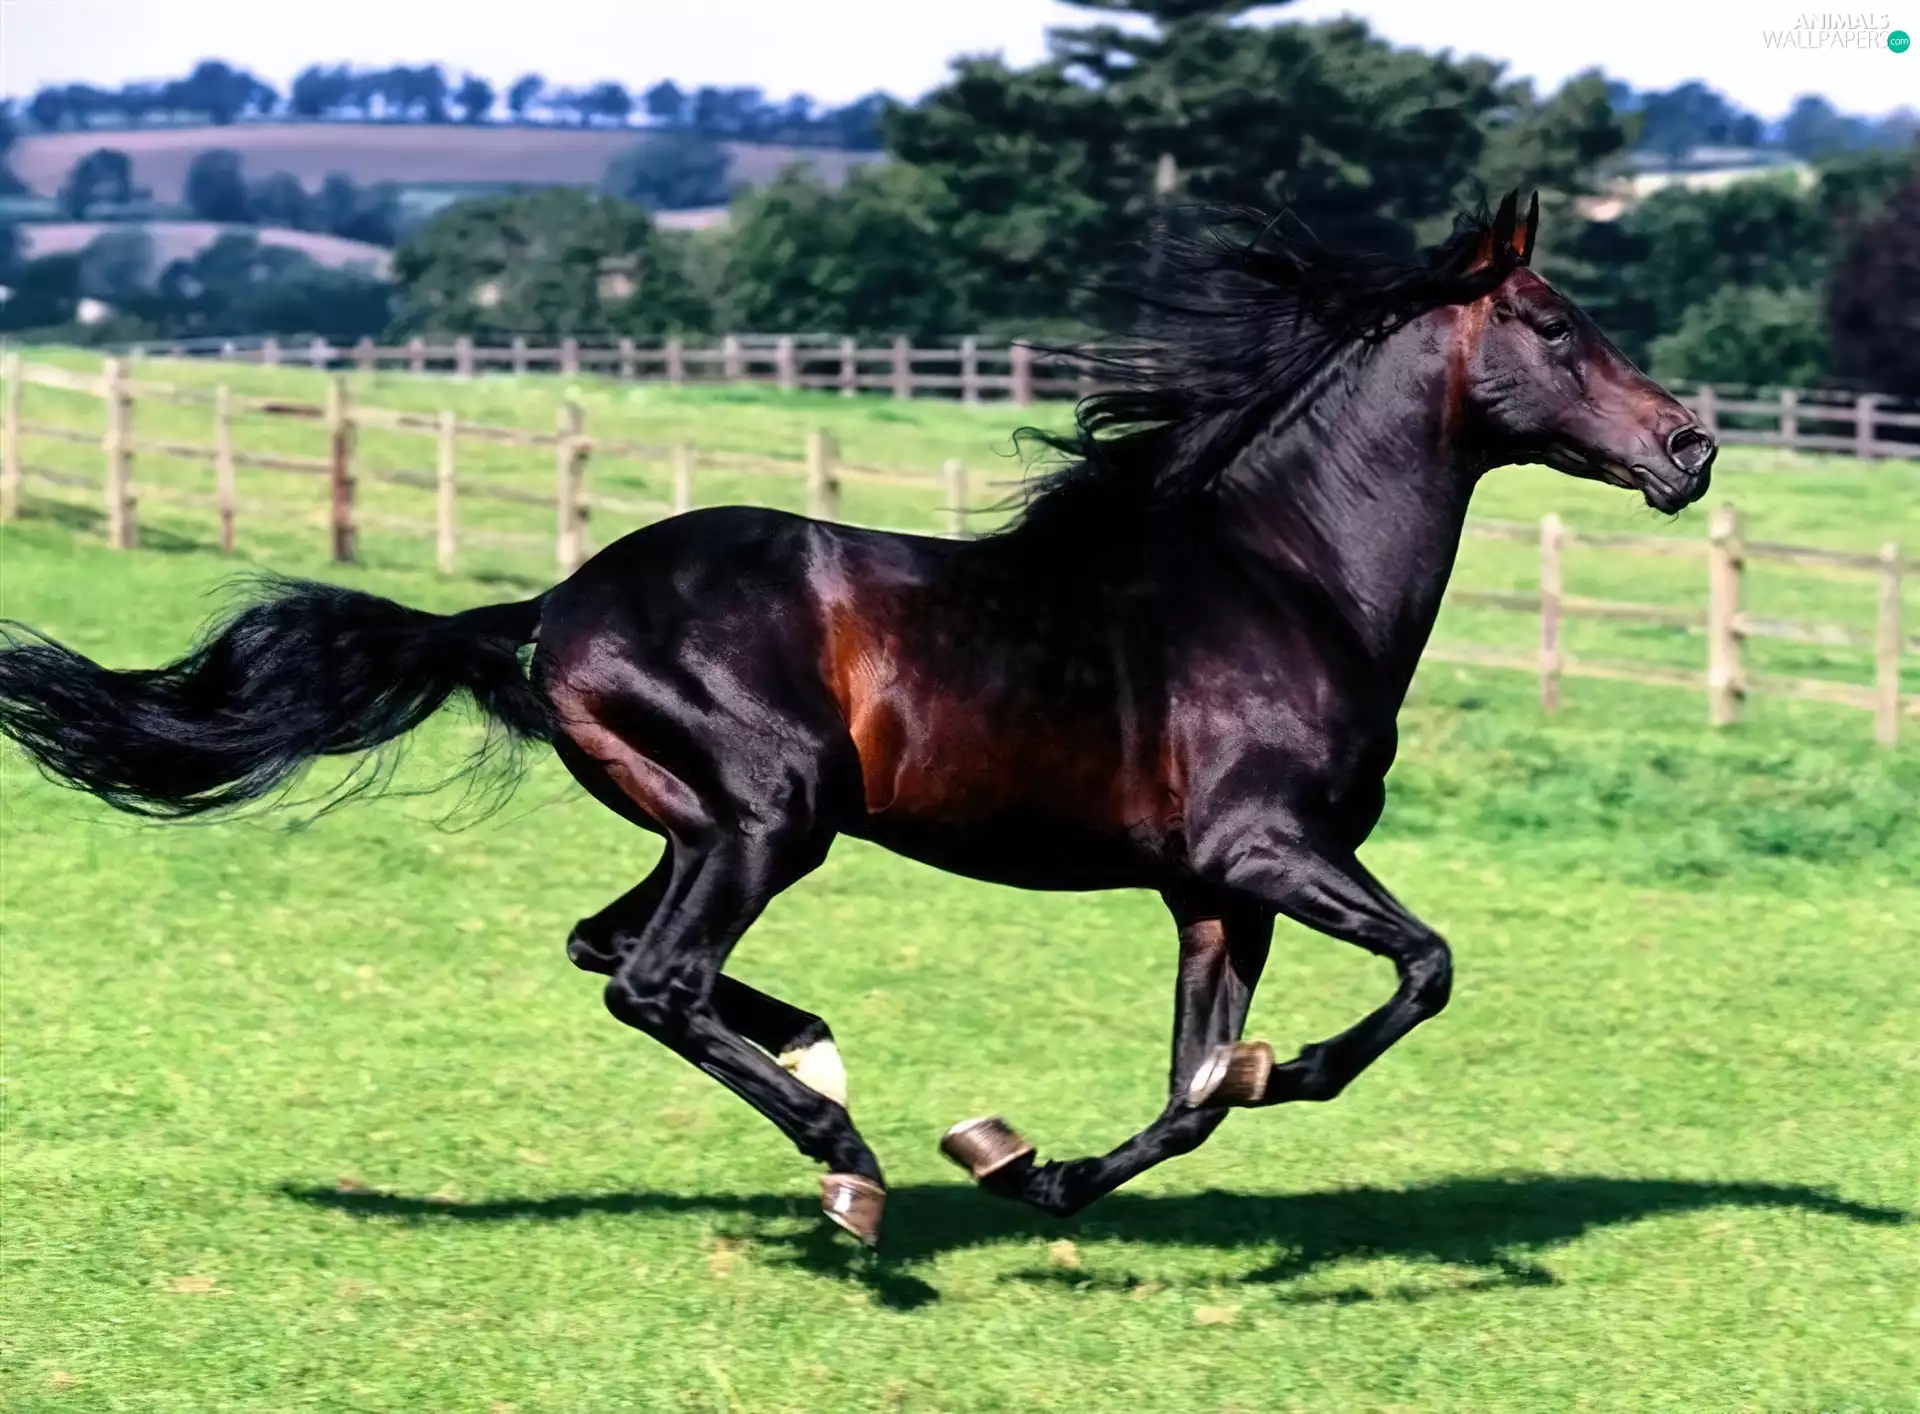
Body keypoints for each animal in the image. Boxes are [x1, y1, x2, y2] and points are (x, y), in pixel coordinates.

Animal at [0, 191, 1714, 1248]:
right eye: (1555, 323)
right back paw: (848, 1165)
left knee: (611, 950)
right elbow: (1419, 973)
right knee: (656, 977)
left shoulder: (1213, 891)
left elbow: (1185, 1094)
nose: (1690, 449)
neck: (1285, 577)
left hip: (706, 821)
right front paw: (1264, 1079)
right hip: (773, 812)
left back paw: (832, 1077)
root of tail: (554, 605)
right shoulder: (1265, 848)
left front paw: (1037, 1165)